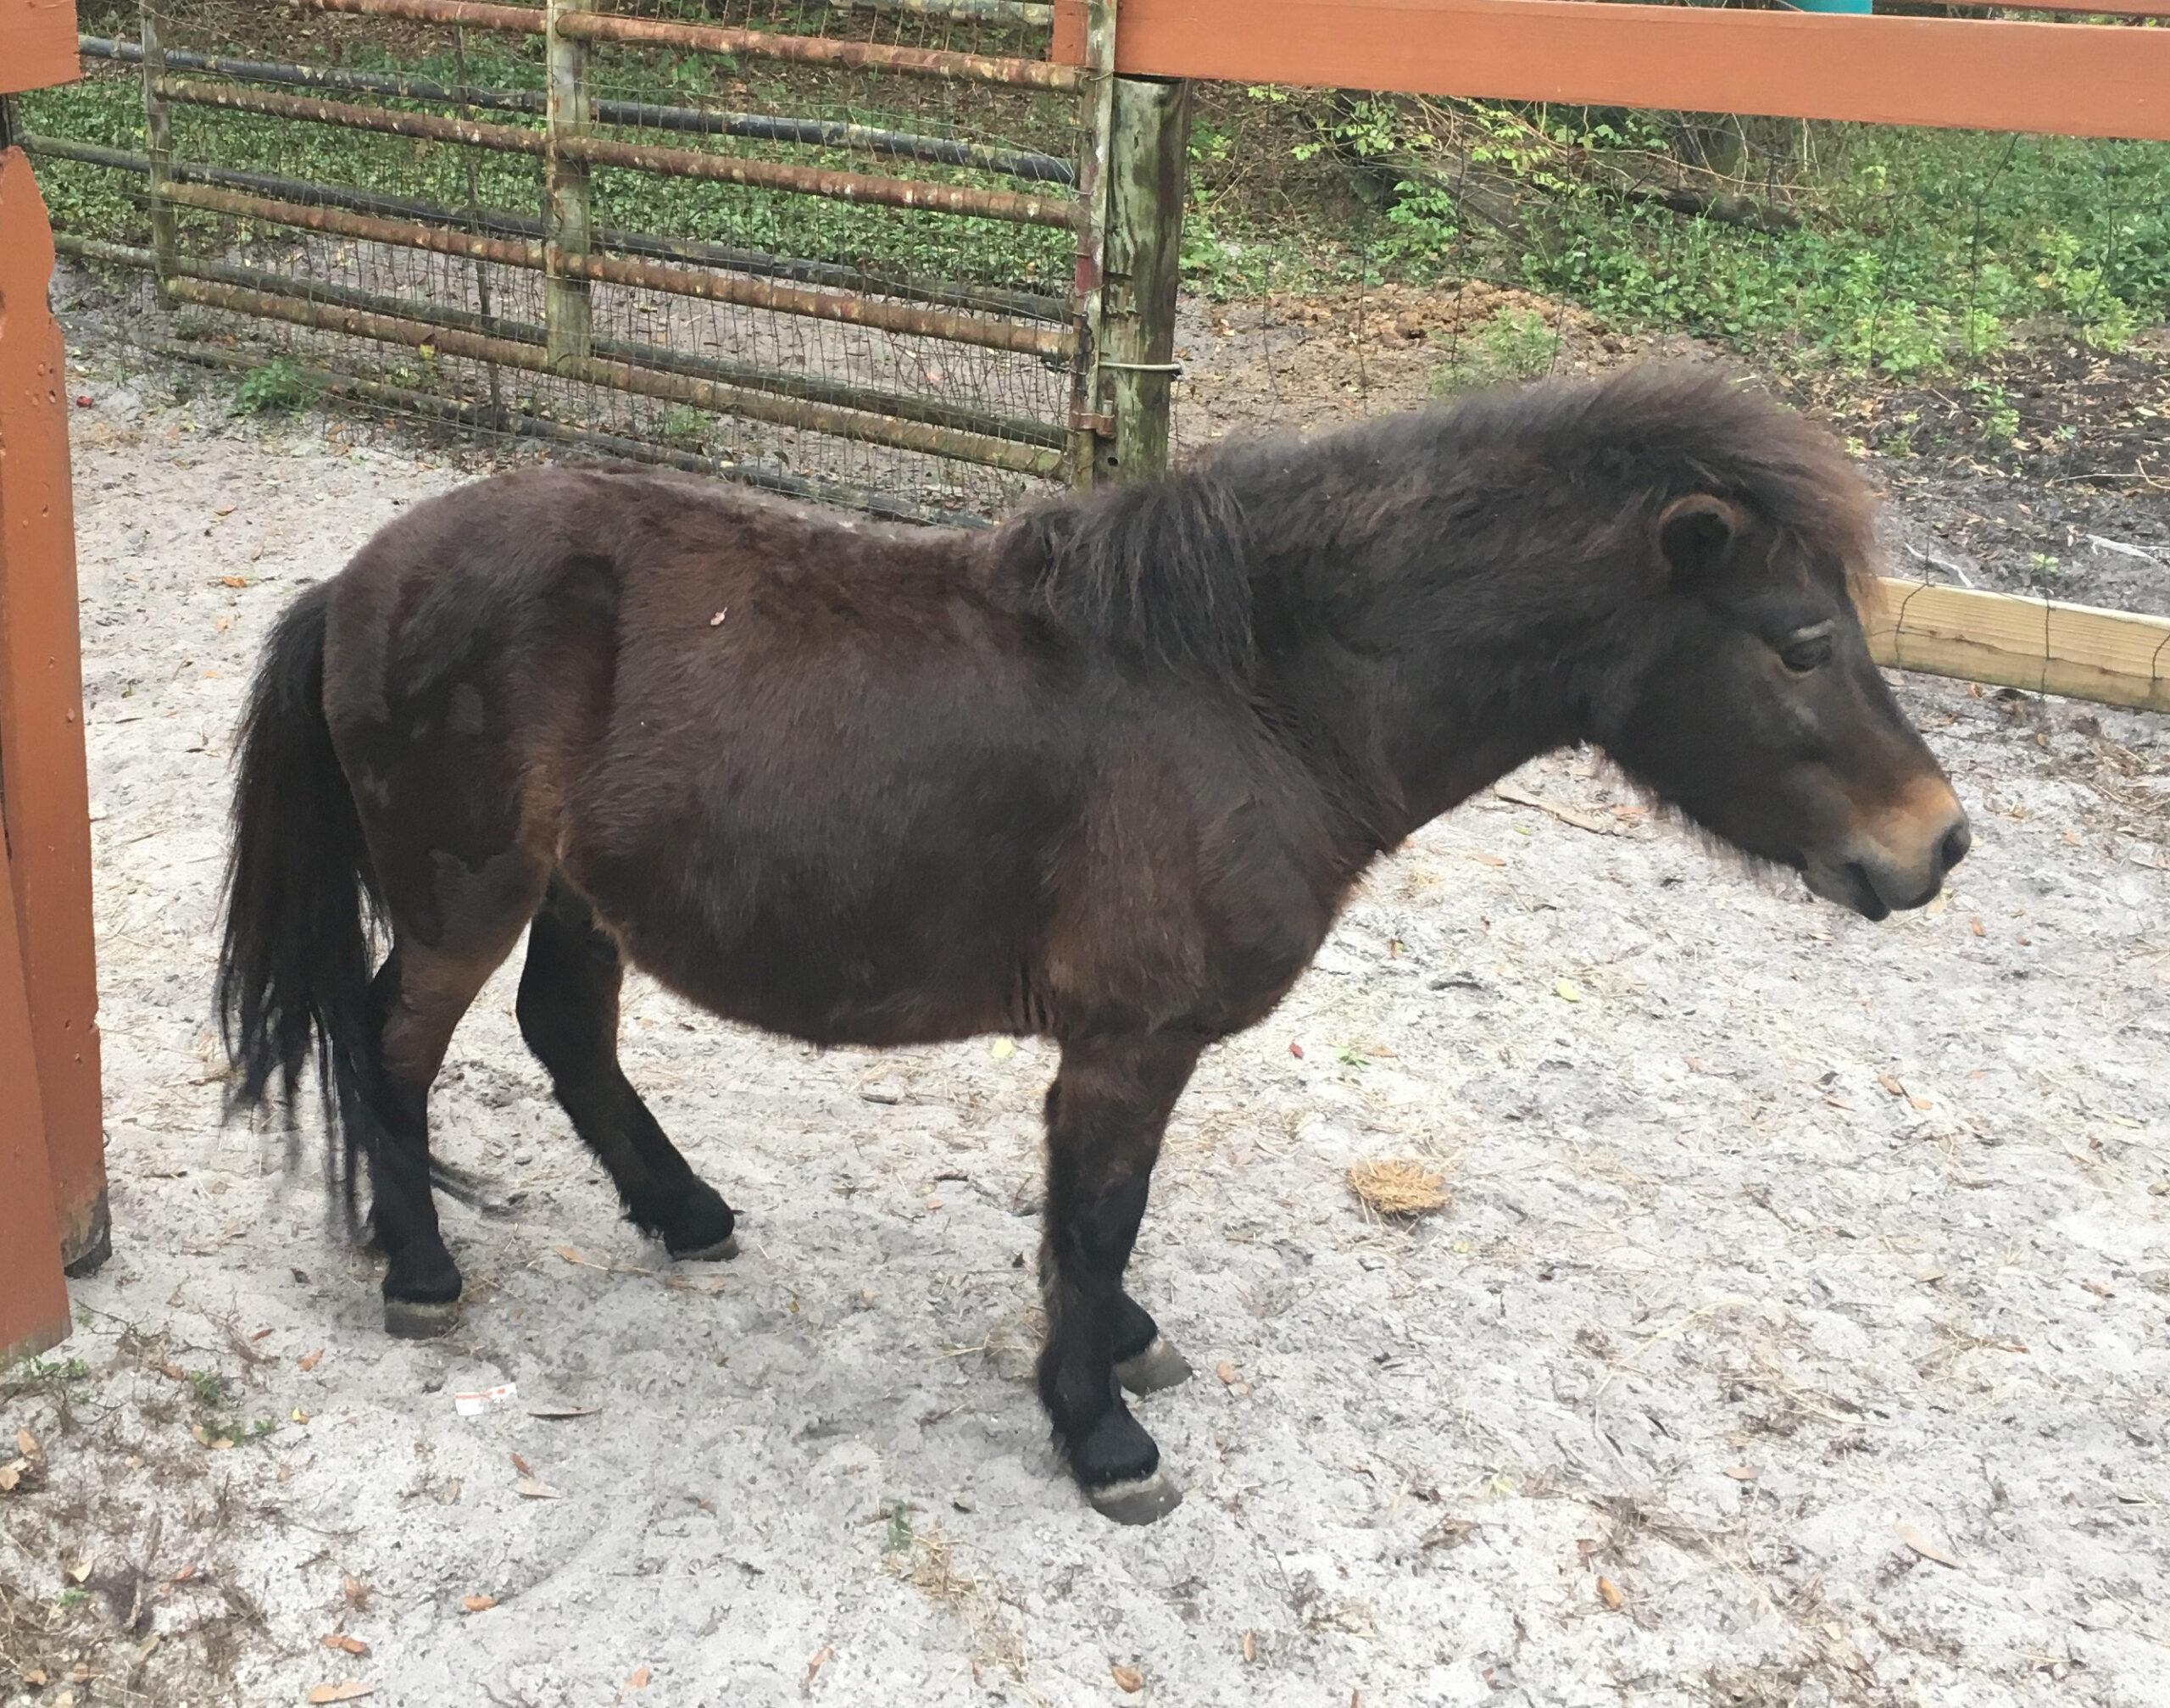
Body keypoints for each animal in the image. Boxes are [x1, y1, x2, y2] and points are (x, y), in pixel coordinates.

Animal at [217, 364, 1970, 1524]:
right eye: (1800, 644)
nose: (1938, 842)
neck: (1252, 692)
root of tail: (358, 581)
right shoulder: (1130, 1041)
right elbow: (1096, 1219)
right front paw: (1099, 1429)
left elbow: (1099, 1232)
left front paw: (1120, 1354)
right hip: (467, 888)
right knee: (392, 1045)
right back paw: (421, 1267)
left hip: (577, 893)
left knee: (564, 1033)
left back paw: (679, 1213)